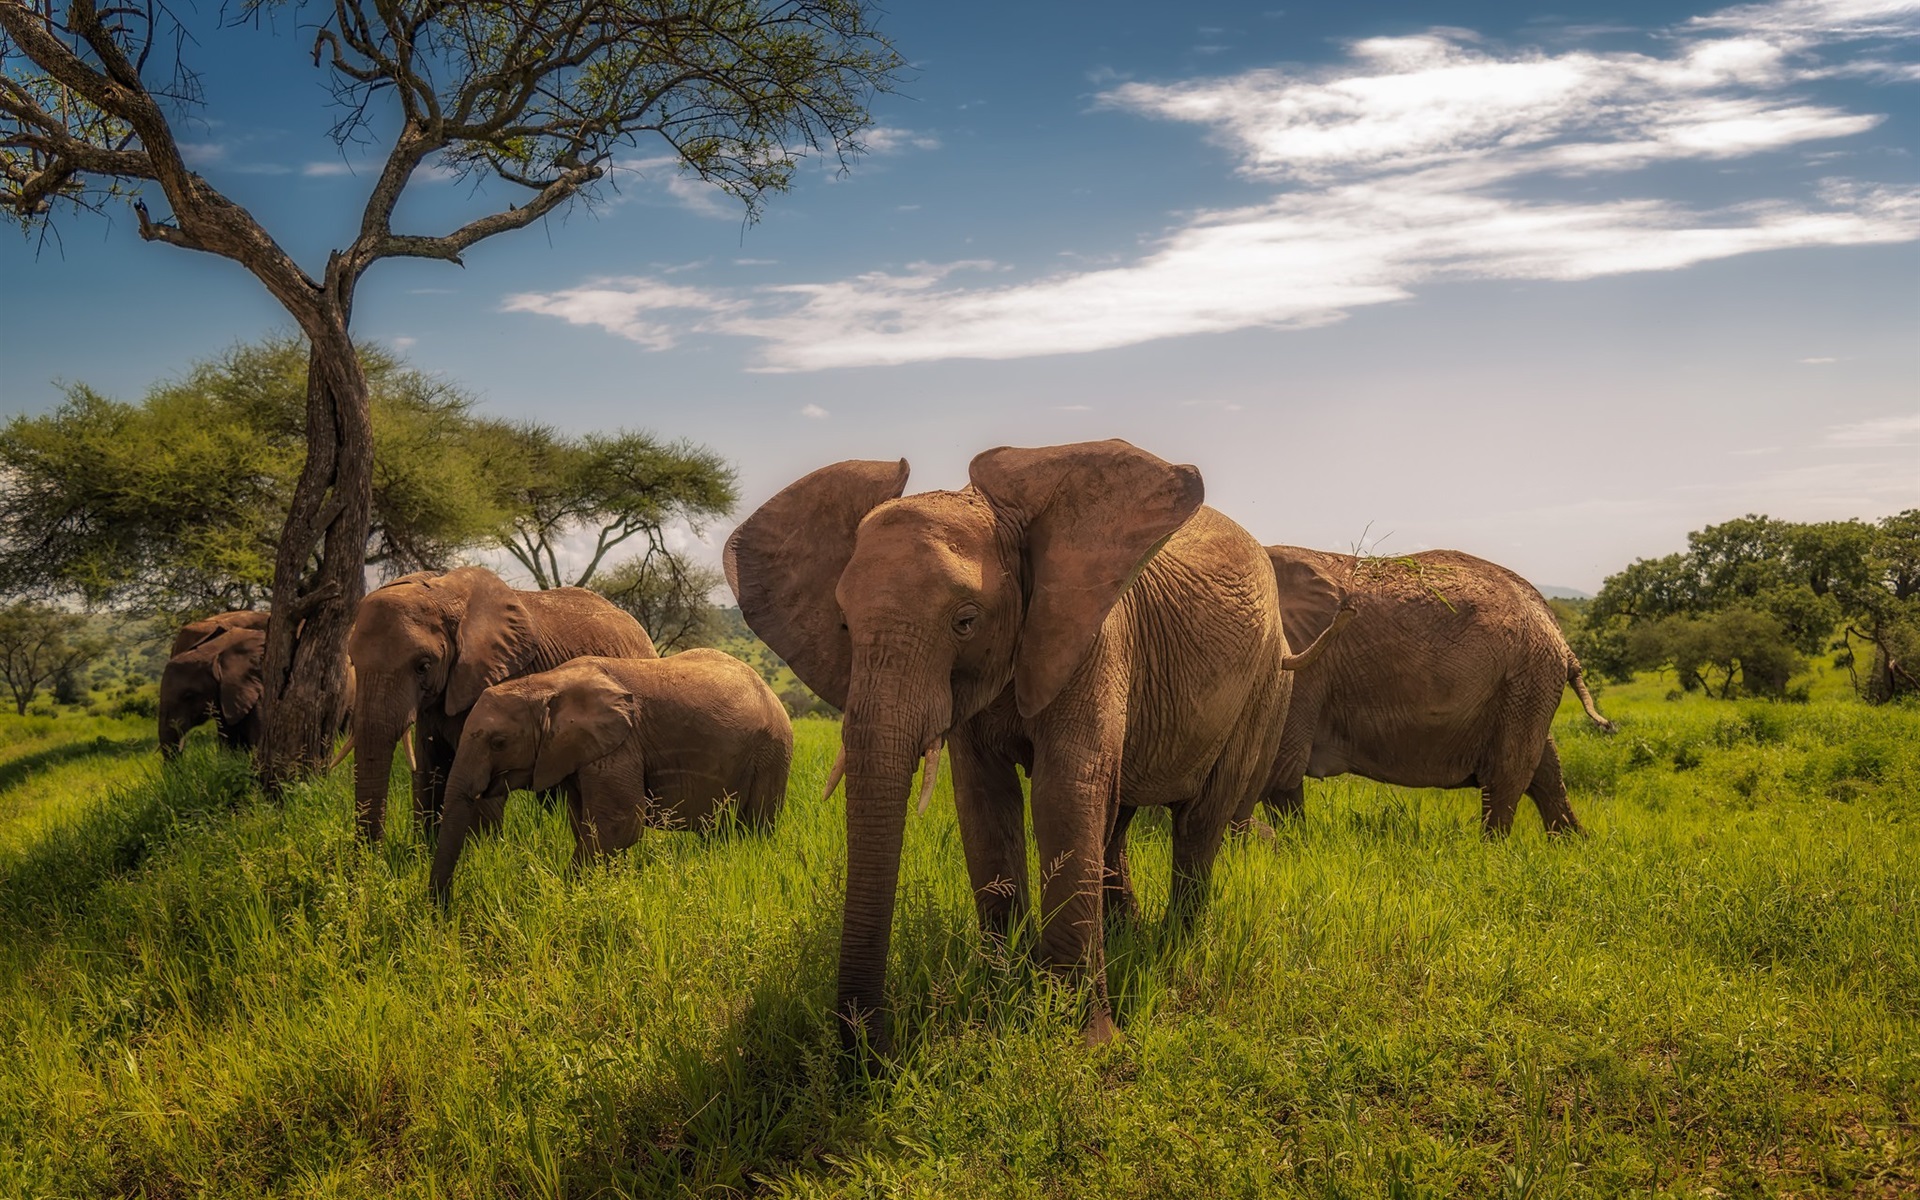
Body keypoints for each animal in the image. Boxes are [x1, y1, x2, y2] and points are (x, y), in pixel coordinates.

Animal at [337, 564, 652, 837]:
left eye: (423, 666)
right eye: (353, 662)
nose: (370, 854)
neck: (441, 594)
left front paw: (480, 852)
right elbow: (430, 770)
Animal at [432, 648, 791, 902]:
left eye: (499, 742)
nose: (442, 910)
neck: (546, 683)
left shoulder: (621, 745)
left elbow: (619, 824)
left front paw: (563, 898)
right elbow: (586, 824)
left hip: (772, 754)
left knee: (754, 828)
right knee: (718, 831)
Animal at [725, 439, 1328, 1044]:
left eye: (966, 622)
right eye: (845, 625)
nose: (866, 1049)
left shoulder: (1094, 638)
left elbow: (1064, 793)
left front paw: (1083, 1040)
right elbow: (985, 803)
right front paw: (1001, 999)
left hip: (1266, 685)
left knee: (1200, 818)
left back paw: (1171, 945)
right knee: (1118, 817)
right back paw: (1128, 935)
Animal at [1251, 545, 1612, 833]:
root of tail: (1557, 630)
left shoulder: (1305, 667)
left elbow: (1277, 768)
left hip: (1526, 678)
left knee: (1505, 779)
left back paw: (1492, 856)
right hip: (1529, 685)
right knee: (1545, 768)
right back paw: (1574, 846)